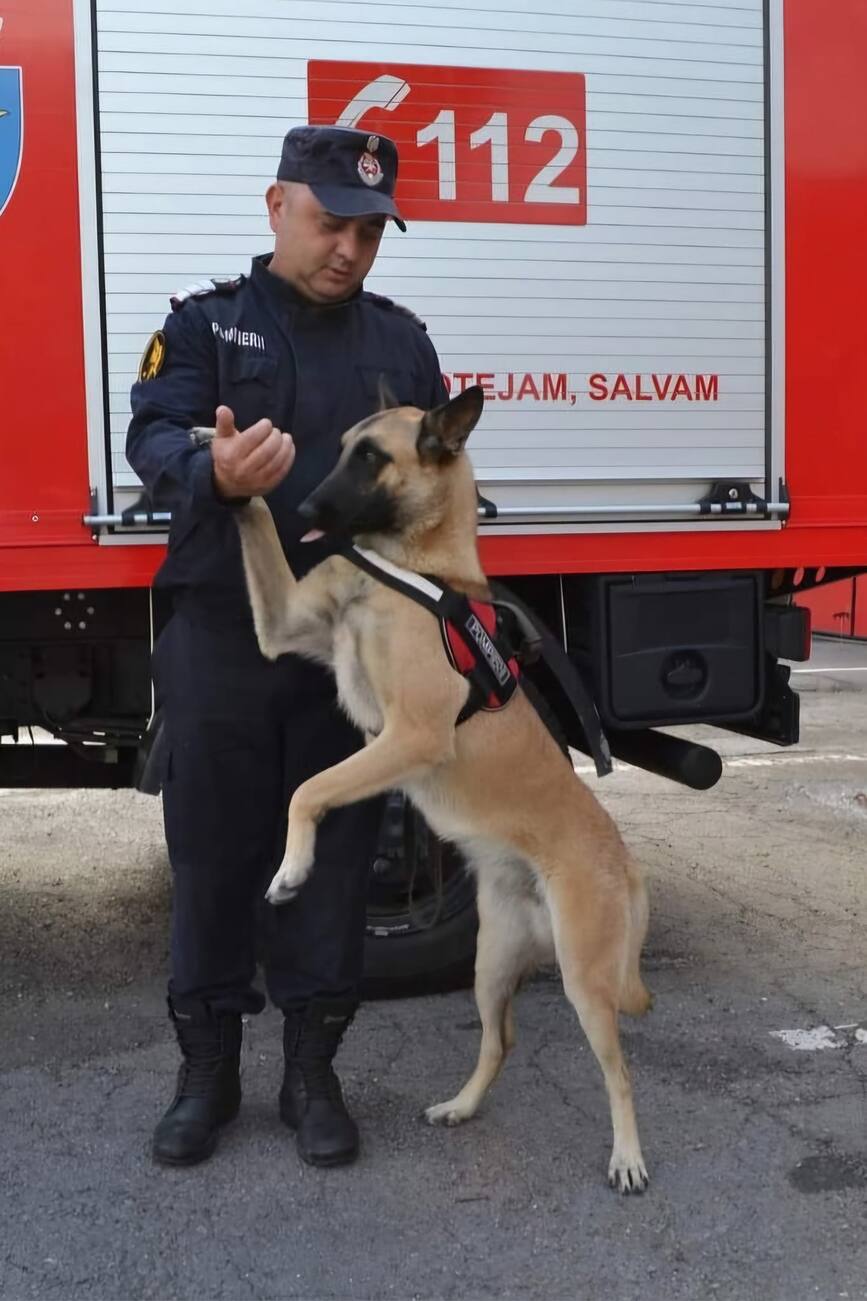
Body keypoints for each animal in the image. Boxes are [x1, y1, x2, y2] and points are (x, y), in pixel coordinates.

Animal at [192, 382, 648, 1191]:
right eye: (344, 448)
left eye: (372, 458)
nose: (306, 506)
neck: (414, 570)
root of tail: (620, 859)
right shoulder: (286, 630)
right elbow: (253, 522)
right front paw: (229, 455)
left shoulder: (408, 737)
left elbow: (306, 790)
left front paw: (292, 868)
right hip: (490, 965)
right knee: (499, 1040)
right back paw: (461, 1106)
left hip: (585, 981)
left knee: (618, 1070)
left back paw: (627, 1155)